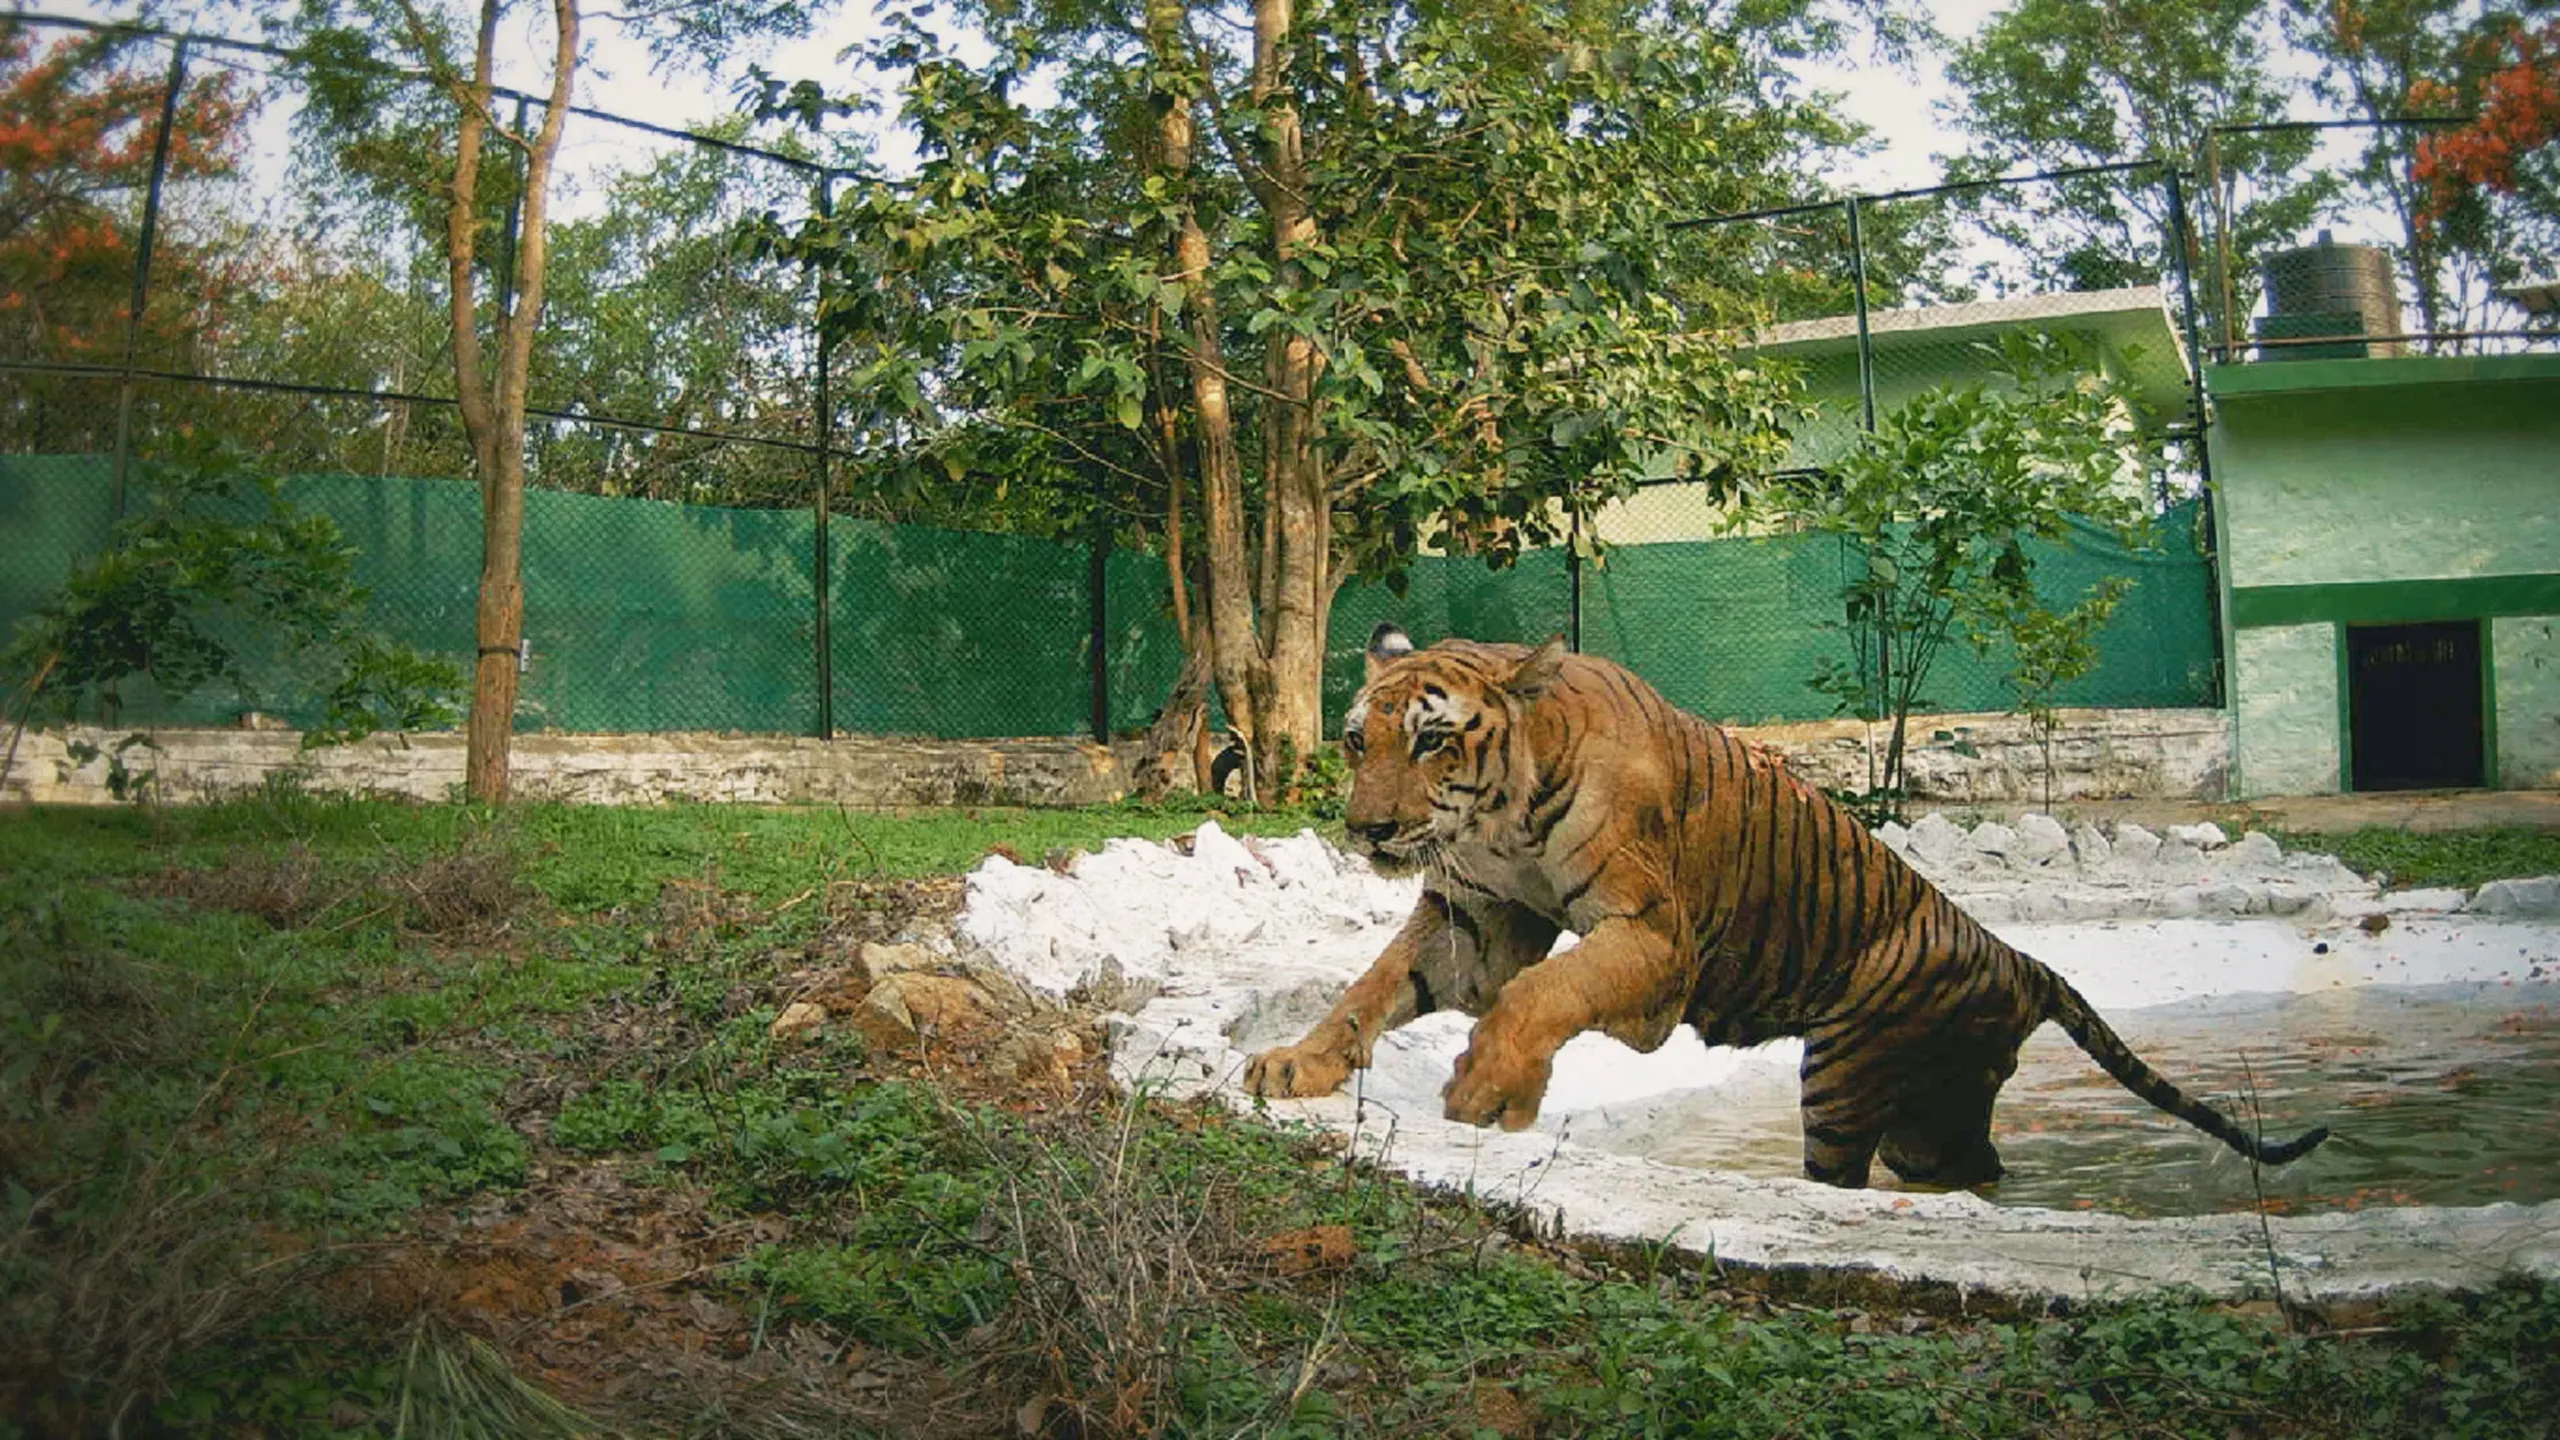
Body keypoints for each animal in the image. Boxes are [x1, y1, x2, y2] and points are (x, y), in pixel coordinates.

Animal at [1242, 624, 2330, 1190]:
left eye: (1431, 741)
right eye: (1358, 740)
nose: (1368, 830)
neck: (1495, 822)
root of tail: (2017, 956)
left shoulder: (1655, 944)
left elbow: (1543, 995)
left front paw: (1489, 1089)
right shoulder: (1476, 922)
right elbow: (1373, 990)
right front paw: (1292, 1064)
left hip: (1847, 1080)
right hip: (1932, 1121)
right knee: (1966, 1166)